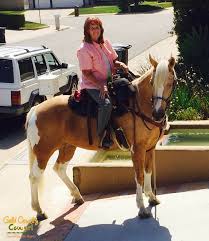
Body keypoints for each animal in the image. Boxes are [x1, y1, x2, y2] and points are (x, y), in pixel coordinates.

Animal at [25, 54, 176, 220]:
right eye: (152, 83)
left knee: (59, 168)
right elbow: (139, 176)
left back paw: (77, 196)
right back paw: (39, 211)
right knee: (34, 176)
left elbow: (148, 171)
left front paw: (152, 197)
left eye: (171, 82)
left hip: (67, 147)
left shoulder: (150, 148)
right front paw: (142, 208)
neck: (139, 105)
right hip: (43, 152)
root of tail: (34, 110)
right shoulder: (137, 150)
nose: (158, 113)